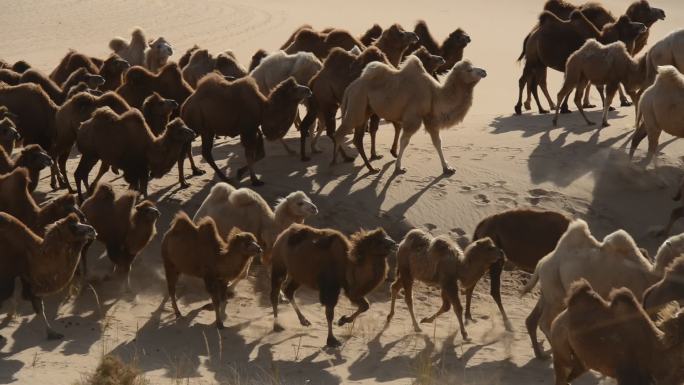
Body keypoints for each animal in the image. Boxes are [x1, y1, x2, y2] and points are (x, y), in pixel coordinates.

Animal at [332, 56, 484, 174]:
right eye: (469, 70)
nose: (484, 71)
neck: (434, 94)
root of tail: (350, 88)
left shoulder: (430, 119)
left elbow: (437, 142)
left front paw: (447, 168)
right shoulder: (413, 117)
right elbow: (404, 141)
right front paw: (398, 167)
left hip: (364, 110)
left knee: (357, 139)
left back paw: (371, 168)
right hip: (356, 105)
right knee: (339, 134)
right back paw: (334, 164)